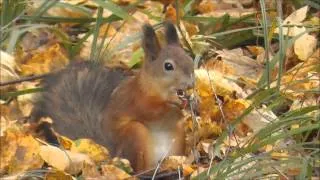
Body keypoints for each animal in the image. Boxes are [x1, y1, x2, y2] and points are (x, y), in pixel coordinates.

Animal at [31, 21, 194, 171]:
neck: (159, 89)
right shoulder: (137, 98)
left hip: (178, 136)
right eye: (168, 66)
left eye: (189, 59)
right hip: (135, 134)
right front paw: (174, 103)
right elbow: (151, 111)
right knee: (137, 168)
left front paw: (191, 102)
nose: (190, 83)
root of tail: (114, 154)